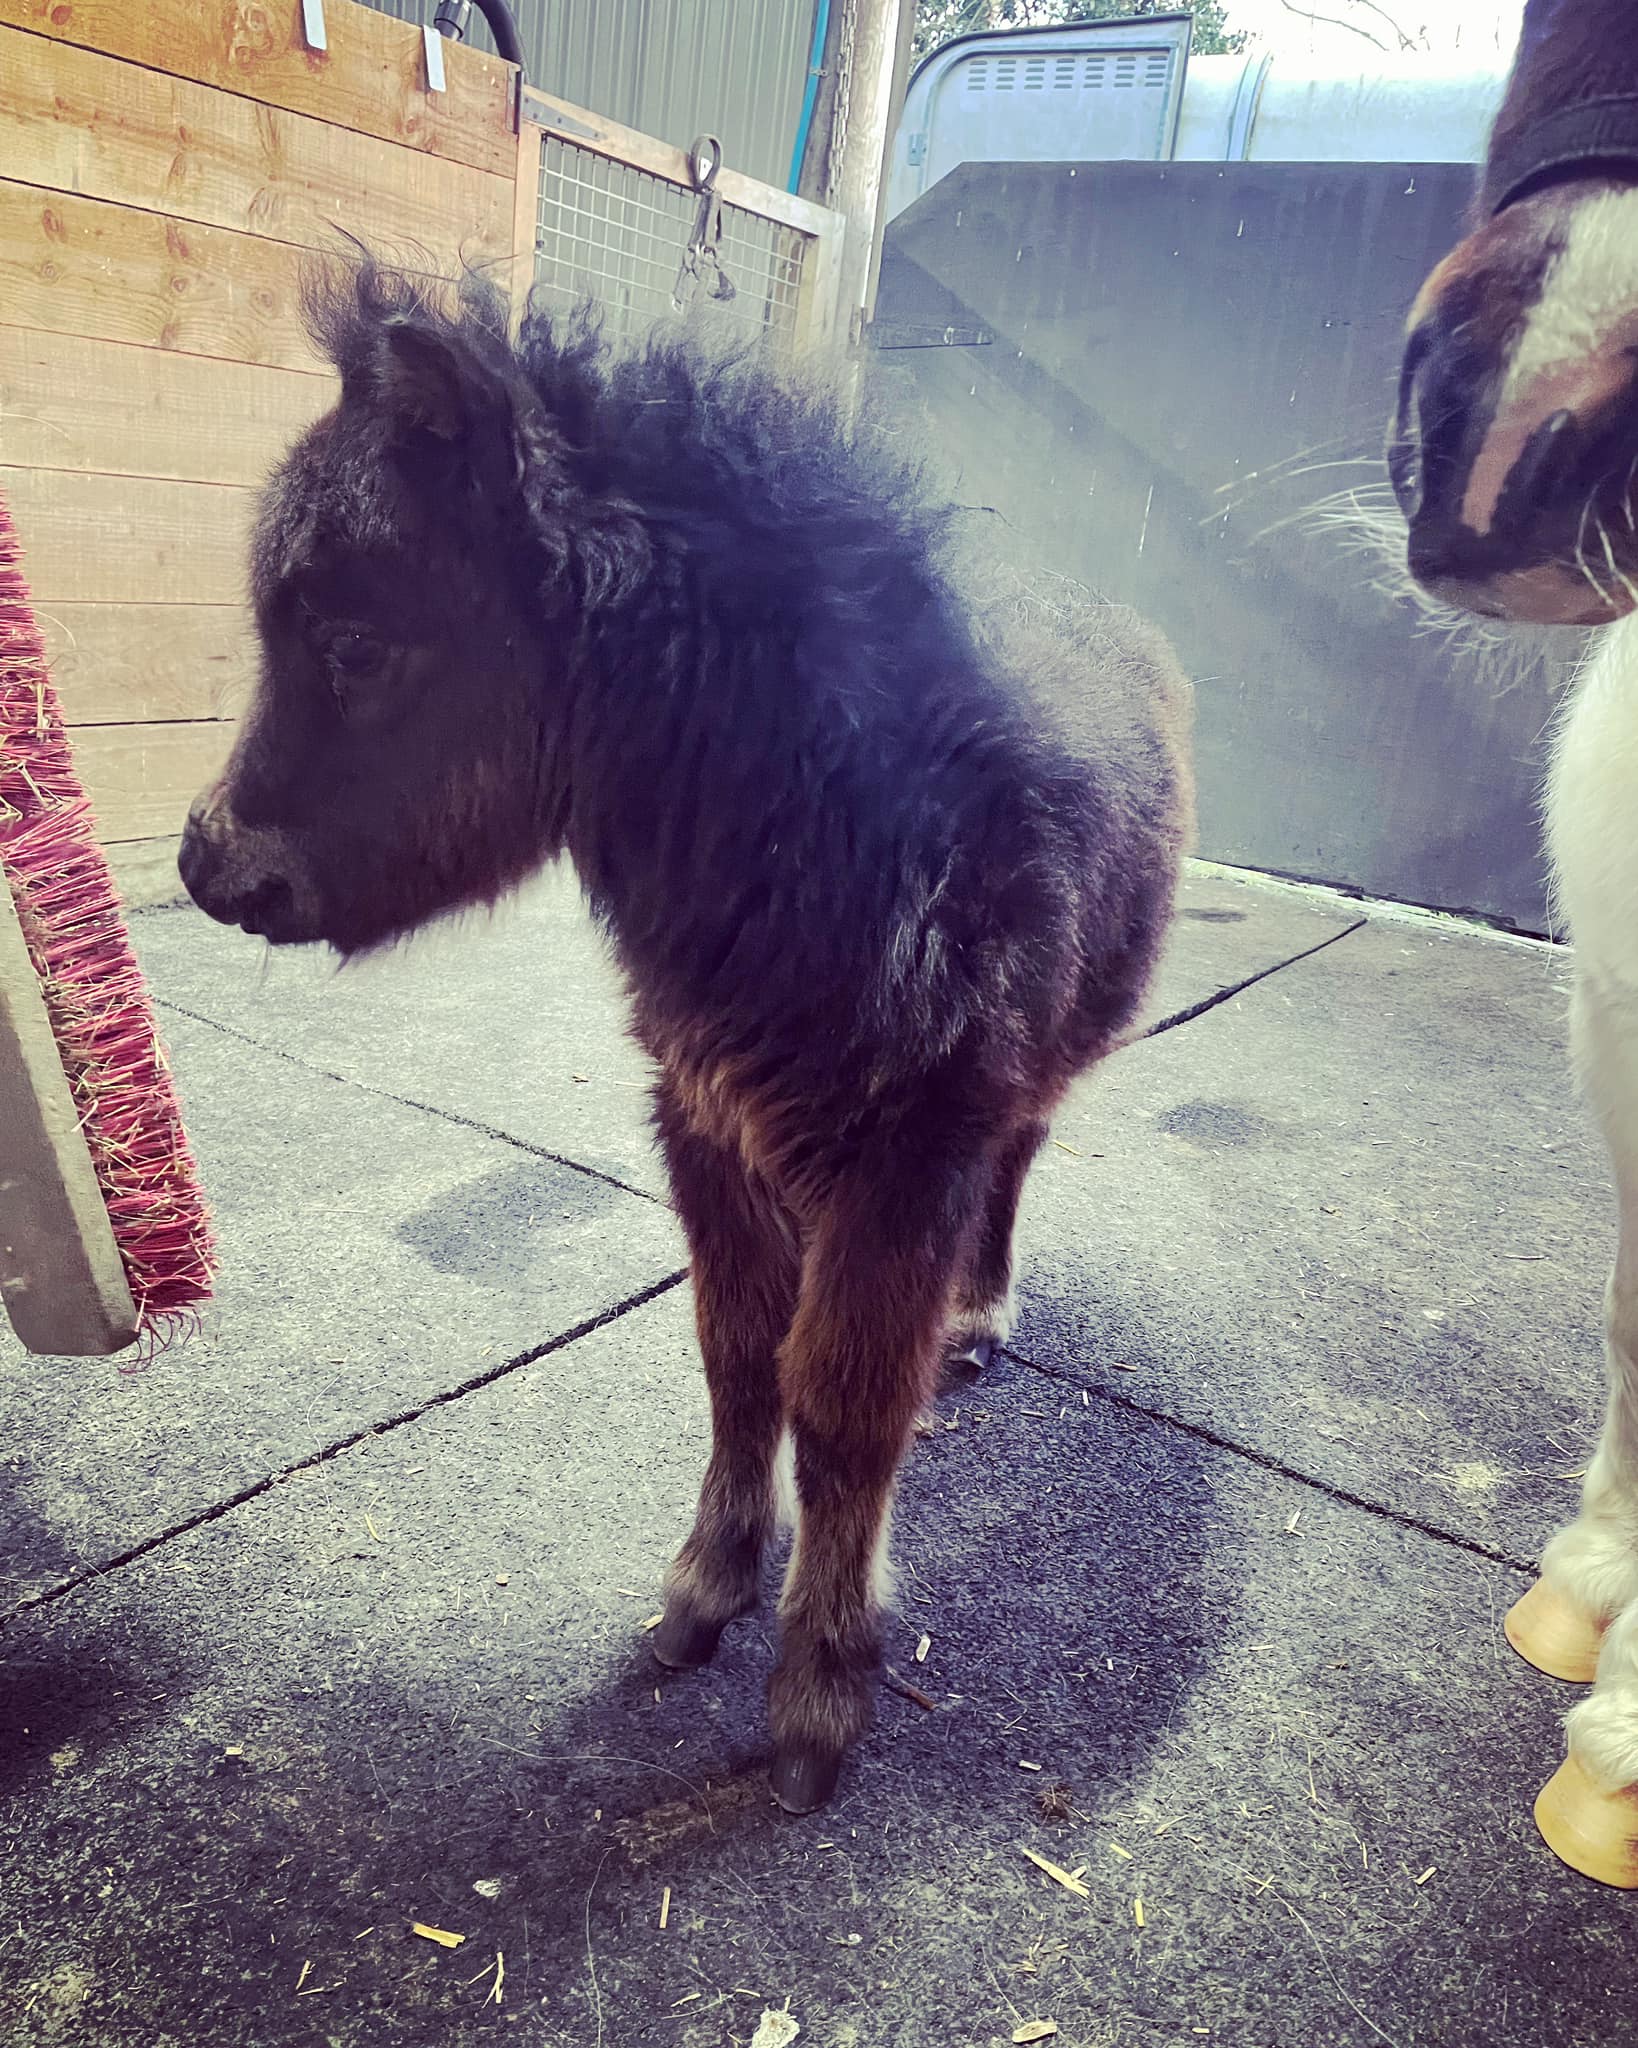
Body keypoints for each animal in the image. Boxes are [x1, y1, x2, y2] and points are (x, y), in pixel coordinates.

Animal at [179, 263, 1194, 1813]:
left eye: (354, 643)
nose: (205, 862)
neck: (828, 824)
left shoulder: (909, 1160)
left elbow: (843, 1406)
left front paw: (819, 1697)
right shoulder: (702, 1119)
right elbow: (737, 1358)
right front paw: (704, 1593)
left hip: (1022, 1084)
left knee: (1021, 1163)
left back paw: (978, 1316)